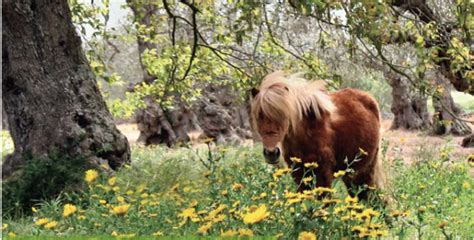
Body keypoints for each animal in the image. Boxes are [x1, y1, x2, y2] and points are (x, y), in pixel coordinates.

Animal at [250, 71, 384, 201]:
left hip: (362, 171)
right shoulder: (299, 174)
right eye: (259, 116)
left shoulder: (323, 174)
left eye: (284, 116)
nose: (271, 153)